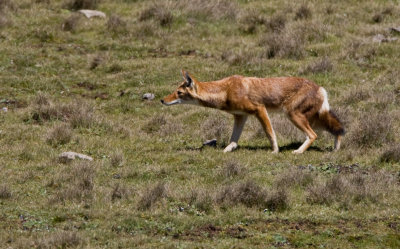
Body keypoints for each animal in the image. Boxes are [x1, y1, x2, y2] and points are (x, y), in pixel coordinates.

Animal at [161, 70, 346, 154]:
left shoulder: (259, 110)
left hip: (294, 116)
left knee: (313, 135)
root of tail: (320, 88)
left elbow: (270, 133)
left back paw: (298, 152)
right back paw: (335, 150)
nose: (162, 100)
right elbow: (233, 140)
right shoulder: (240, 116)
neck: (225, 90)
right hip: (312, 119)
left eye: (179, 93)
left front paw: (275, 151)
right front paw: (226, 151)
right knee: (336, 130)